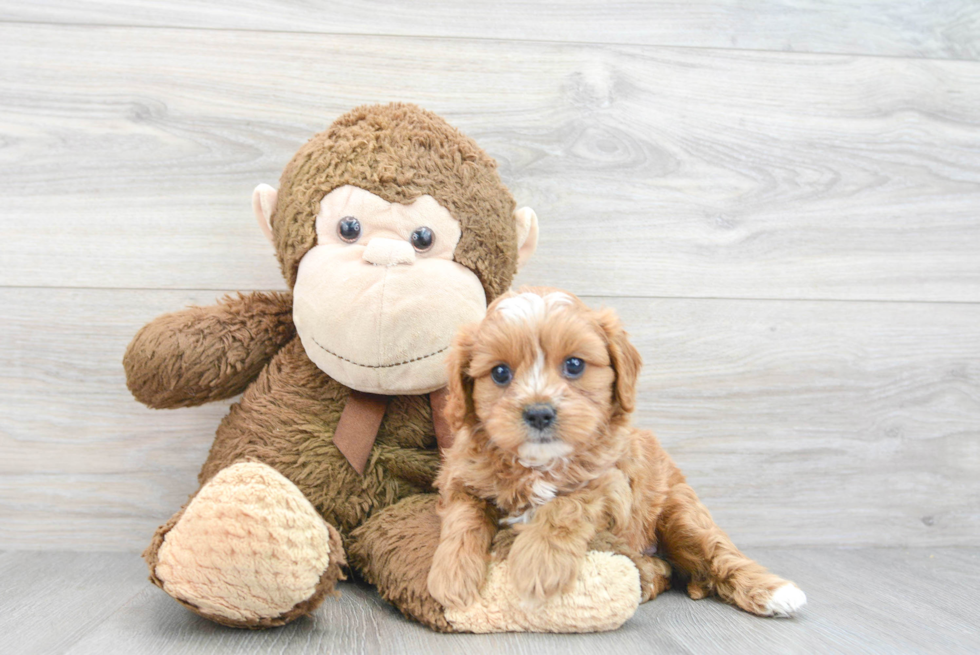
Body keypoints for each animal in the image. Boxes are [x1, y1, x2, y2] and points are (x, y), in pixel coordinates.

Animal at [426, 288, 804, 620]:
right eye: (500, 373)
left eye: (574, 365)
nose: (539, 413)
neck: (539, 464)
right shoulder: (460, 477)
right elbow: (464, 519)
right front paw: (452, 575)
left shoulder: (611, 483)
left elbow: (565, 506)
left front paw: (538, 565)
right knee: (666, 569)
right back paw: (648, 576)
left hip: (680, 512)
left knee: (717, 552)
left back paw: (775, 592)